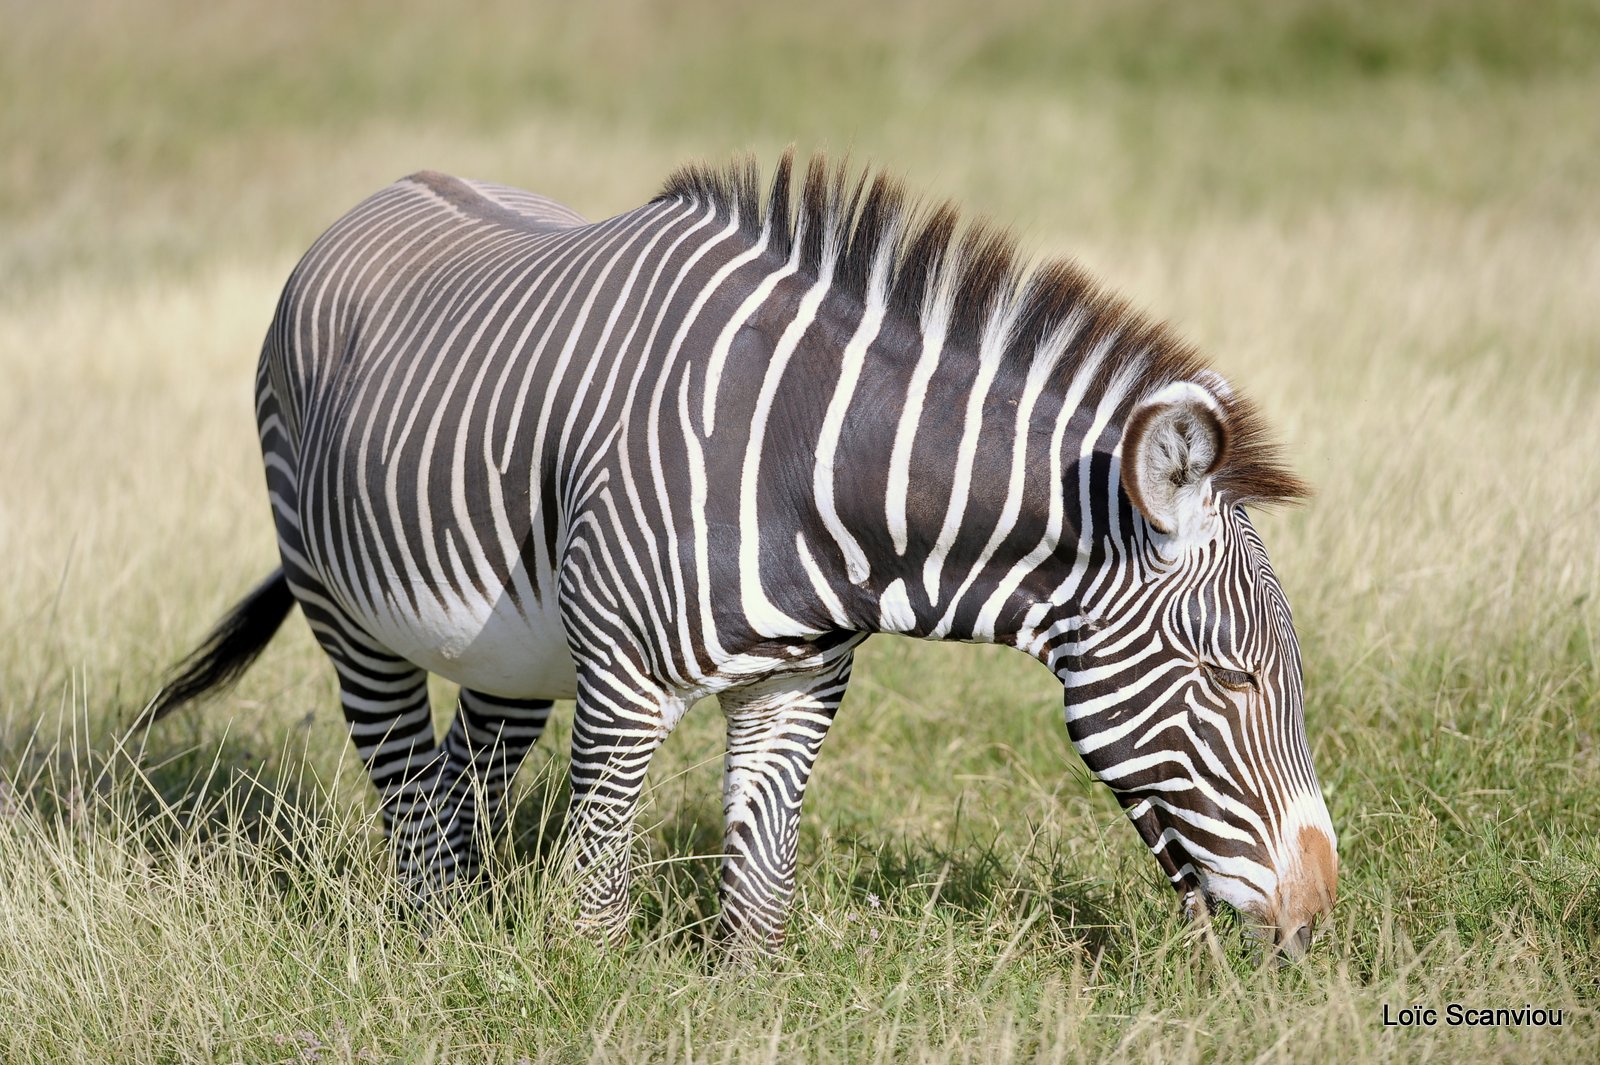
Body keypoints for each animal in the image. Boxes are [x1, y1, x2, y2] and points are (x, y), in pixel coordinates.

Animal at [140, 149, 1337, 953]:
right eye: (1230, 679)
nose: (1318, 905)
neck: (810, 476)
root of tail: (393, 183)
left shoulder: (797, 685)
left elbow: (761, 892)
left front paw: (742, 1001)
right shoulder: (623, 689)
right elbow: (597, 903)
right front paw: (581, 996)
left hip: (509, 652)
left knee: (457, 782)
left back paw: (472, 936)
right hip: (349, 615)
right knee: (400, 778)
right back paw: (438, 948)